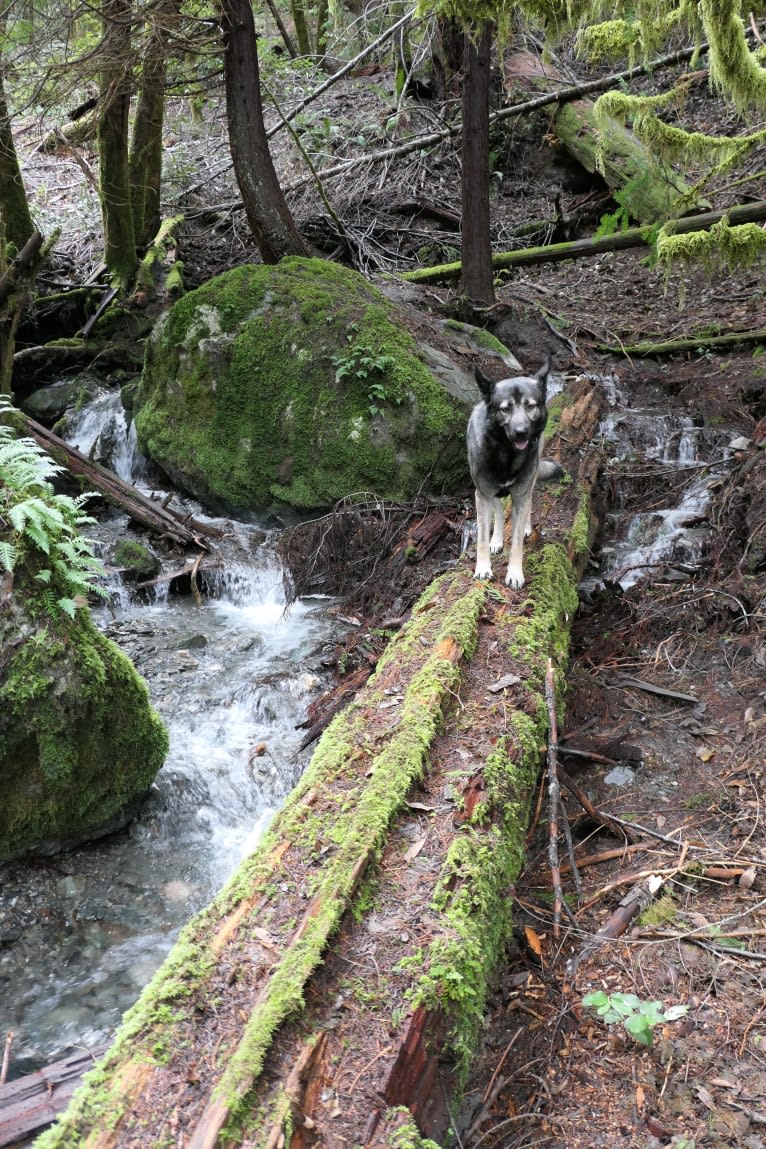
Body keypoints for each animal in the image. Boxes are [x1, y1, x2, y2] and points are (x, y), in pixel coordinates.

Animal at [463, 356, 567, 592]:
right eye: (505, 409)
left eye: (530, 406)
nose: (521, 432)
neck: (506, 453)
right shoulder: (483, 494)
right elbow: (482, 536)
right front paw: (483, 567)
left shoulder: (520, 493)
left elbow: (517, 540)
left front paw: (515, 573)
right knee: (499, 512)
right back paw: (497, 540)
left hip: (530, 482)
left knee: (529, 504)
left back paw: (526, 526)